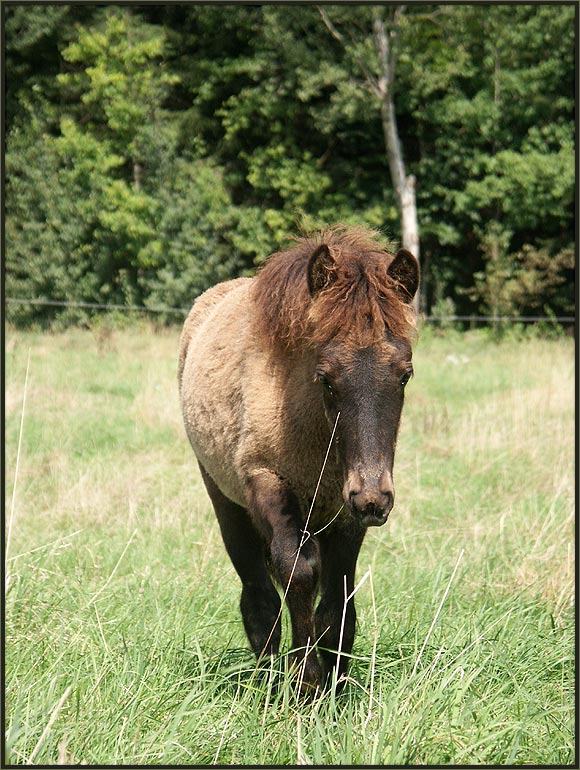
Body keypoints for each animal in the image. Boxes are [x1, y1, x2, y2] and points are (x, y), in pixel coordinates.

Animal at [177, 224, 416, 688]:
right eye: (326, 378)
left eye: (405, 375)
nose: (374, 499)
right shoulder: (266, 481)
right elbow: (297, 573)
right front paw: (306, 682)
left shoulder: (344, 510)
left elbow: (337, 604)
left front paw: (336, 685)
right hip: (224, 498)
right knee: (259, 598)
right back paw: (267, 676)